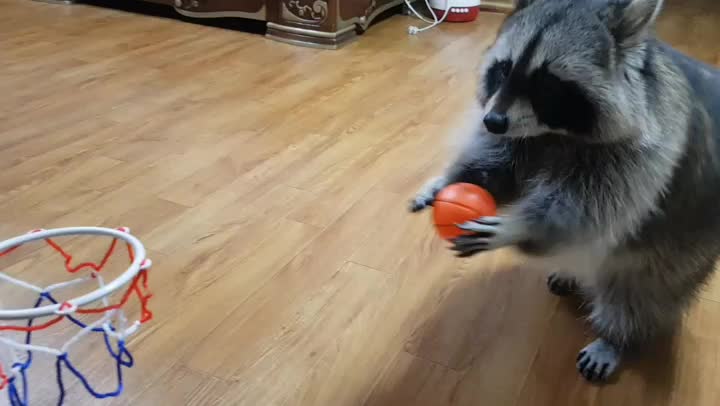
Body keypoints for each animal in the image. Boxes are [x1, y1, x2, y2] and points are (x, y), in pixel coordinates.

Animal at [408, 0, 720, 382]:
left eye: (546, 84)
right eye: (504, 69)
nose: (492, 122)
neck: (555, 132)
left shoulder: (646, 153)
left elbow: (594, 209)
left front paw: (520, 227)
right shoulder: (518, 137)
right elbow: (499, 166)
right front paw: (450, 179)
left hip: (687, 242)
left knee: (645, 290)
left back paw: (617, 336)